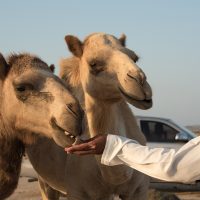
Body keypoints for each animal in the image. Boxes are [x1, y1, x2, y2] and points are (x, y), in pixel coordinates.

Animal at [26, 32, 152, 200]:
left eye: (135, 57)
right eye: (93, 63)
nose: (140, 81)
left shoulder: (139, 189)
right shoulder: (78, 191)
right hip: (44, 181)